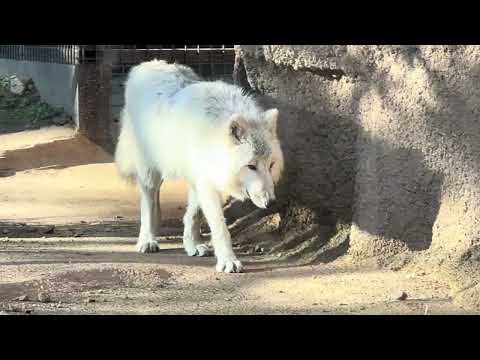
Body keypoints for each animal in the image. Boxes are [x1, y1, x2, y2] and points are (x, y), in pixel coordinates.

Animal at [114, 59, 284, 272]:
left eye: (271, 165)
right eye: (251, 166)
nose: (271, 203)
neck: (213, 135)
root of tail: (147, 64)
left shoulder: (202, 179)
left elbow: (195, 215)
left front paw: (193, 245)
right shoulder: (206, 183)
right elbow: (220, 227)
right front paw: (228, 261)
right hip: (150, 173)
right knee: (149, 204)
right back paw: (147, 240)